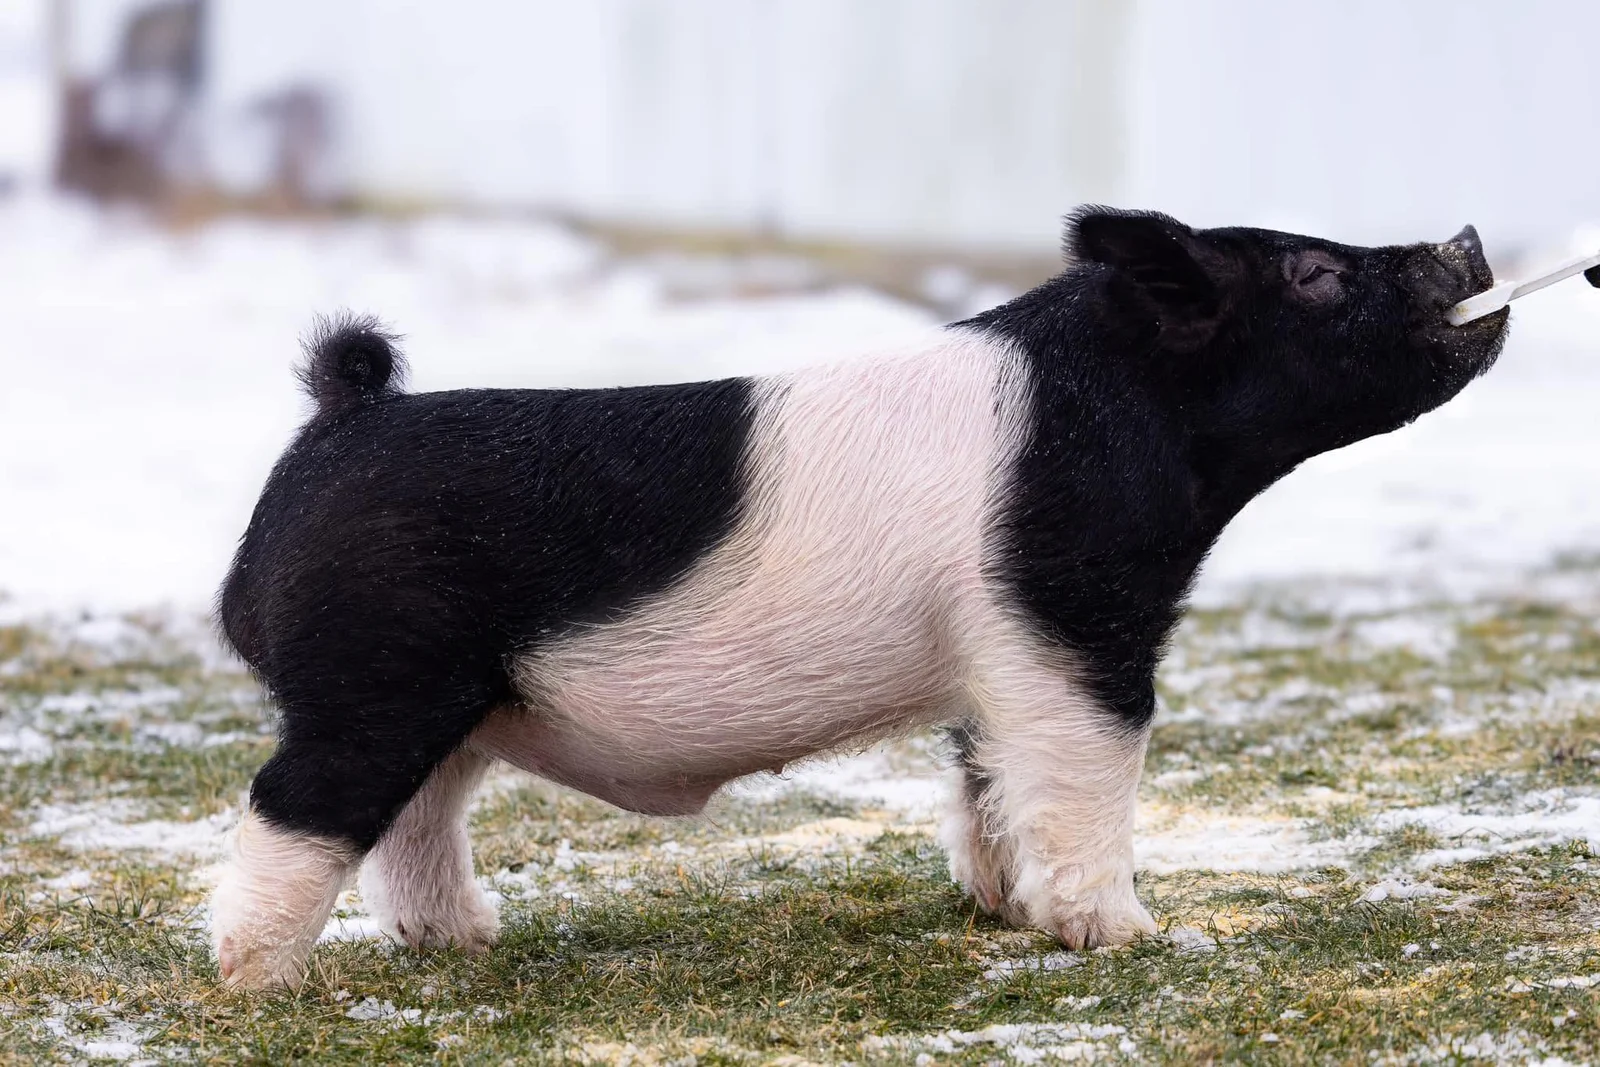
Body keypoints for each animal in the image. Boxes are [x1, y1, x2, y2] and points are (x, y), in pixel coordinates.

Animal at [210, 208, 1507, 989]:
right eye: (1316, 273)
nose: (1465, 238)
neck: (1124, 409)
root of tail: (341, 415)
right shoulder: (1077, 614)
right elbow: (1088, 770)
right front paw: (1126, 936)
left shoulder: (997, 655)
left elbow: (988, 773)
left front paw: (1002, 911)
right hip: (375, 676)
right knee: (293, 808)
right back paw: (259, 980)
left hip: (455, 698)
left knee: (416, 818)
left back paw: (466, 942)